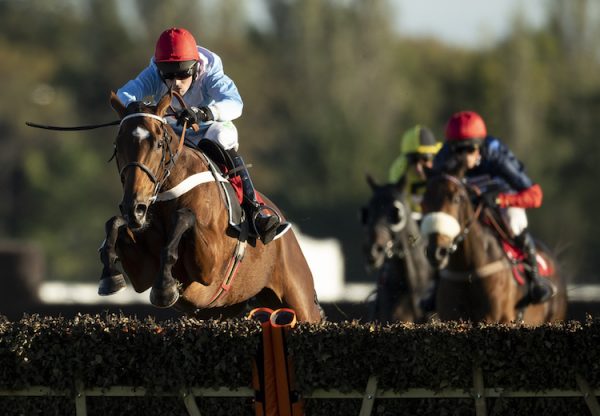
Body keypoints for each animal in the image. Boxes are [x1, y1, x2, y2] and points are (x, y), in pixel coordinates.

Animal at [98, 92, 324, 324]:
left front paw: (165, 286)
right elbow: (114, 223)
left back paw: (265, 221)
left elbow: (183, 218)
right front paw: (110, 276)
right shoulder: (143, 273)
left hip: (300, 300)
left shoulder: (210, 267)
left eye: (159, 143)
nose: (135, 208)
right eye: (118, 145)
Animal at [420, 164, 564, 324]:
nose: (436, 252)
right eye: (423, 202)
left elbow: (533, 191)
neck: (468, 271)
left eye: (457, 198)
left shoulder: (499, 318)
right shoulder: (451, 316)